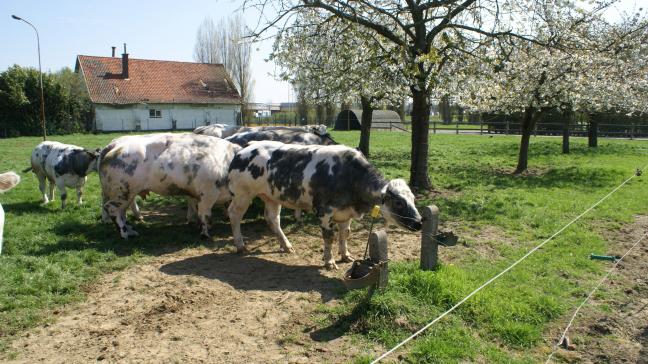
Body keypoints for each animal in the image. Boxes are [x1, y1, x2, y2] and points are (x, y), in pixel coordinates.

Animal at [100, 134, 242, 239]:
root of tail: (114, 145)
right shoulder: (207, 194)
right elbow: (205, 215)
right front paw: (205, 234)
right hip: (122, 191)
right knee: (111, 208)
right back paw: (125, 234)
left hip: (126, 194)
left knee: (122, 212)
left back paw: (130, 230)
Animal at [229, 141, 426, 268]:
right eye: (399, 202)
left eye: (413, 199)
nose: (419, 222)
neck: (349, 176)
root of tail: (245, 148)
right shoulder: (324, 212)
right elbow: (329, 237)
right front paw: (329, 261)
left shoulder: (346, 212)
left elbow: (345, 234)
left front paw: (345, 255)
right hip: (242, 194)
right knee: (234, 214)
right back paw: (240, 245)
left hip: (272, 197)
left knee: (272, 220)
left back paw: (286, 245)